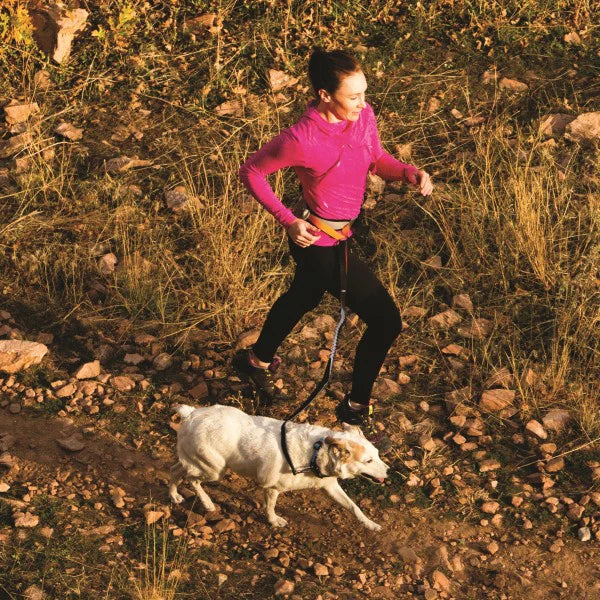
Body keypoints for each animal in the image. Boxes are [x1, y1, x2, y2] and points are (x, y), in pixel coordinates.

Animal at [169, 404, 390, 528]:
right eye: (368, 461)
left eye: (377, 455)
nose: (388, 472)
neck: (315, 453)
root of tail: (191, 414)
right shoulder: (272, 488)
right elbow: (270, 507)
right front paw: (274, 521)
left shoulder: (330, 486)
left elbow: (353, 506)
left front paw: (370, 524)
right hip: (214, 469)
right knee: (192, 480)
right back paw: (207, 503)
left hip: (197, 462)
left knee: (177, 470)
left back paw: (174, 495)